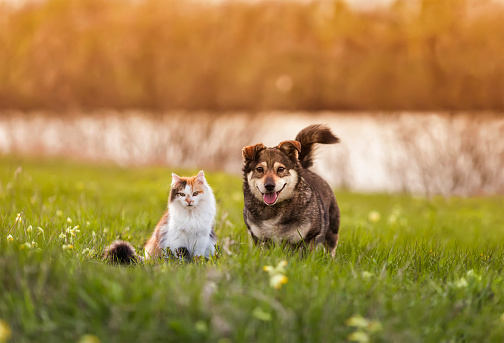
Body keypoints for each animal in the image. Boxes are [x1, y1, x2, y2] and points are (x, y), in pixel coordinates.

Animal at [241, 125, 340, 256]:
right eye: (260, 169)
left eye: (280, 169)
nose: (269, 186)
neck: (274, 209)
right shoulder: (260, 239)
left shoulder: (308, 238)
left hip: (332, 229)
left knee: (331, 248)